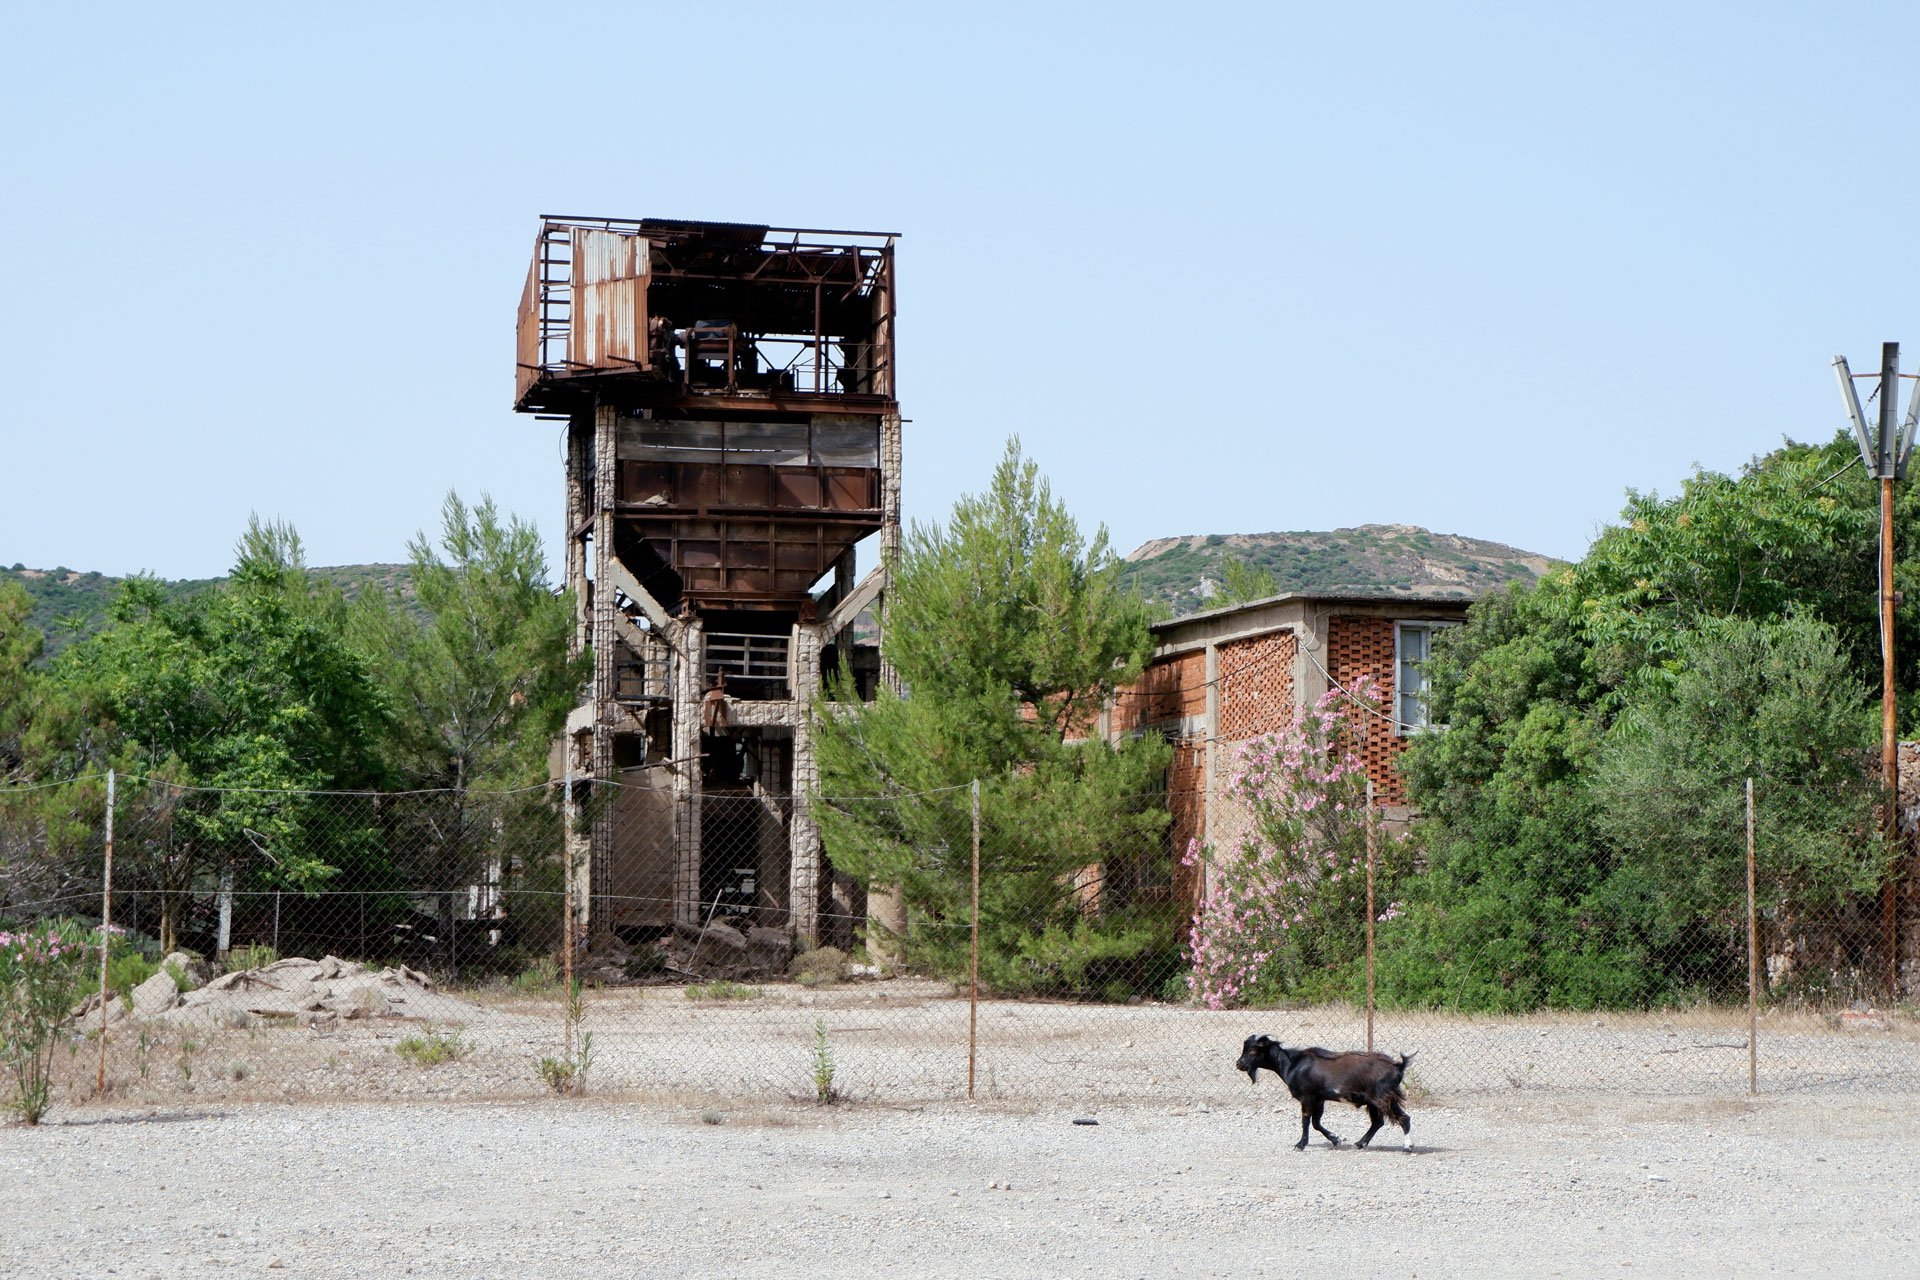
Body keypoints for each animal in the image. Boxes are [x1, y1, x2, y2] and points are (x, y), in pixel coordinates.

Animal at [1236, 1036, 1420, 1159]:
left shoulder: (1307, 1096)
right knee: (1378, 1122)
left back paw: (1407, 1147)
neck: (1292, 1064)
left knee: (1403, 1118)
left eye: (1253, 1050)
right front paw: (1335, 1139)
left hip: (1383, 1096)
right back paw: (1360, 1143)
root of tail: (1398, 1066)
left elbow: (1306, 1121)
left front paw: (1300, 1145)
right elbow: (1316, 1123)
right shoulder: (1319, 1099)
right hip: (1376, 1100)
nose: (1239, 1064)